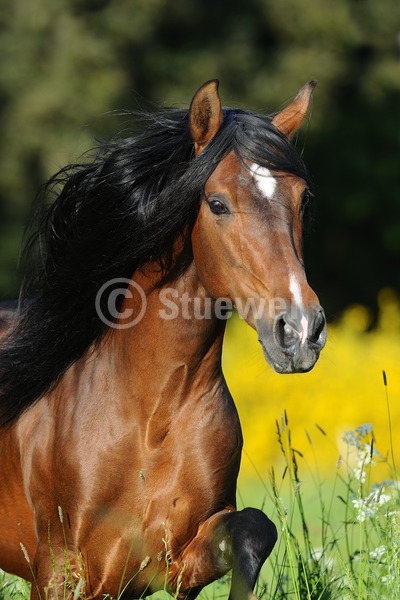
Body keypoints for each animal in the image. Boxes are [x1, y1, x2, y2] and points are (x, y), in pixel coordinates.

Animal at [0, 81, 326, 600]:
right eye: (216, 203)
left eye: (304, 199)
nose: (299, 331)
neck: (150, 421)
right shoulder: (58, 572)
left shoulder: (171, 562)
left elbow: (255, 529)